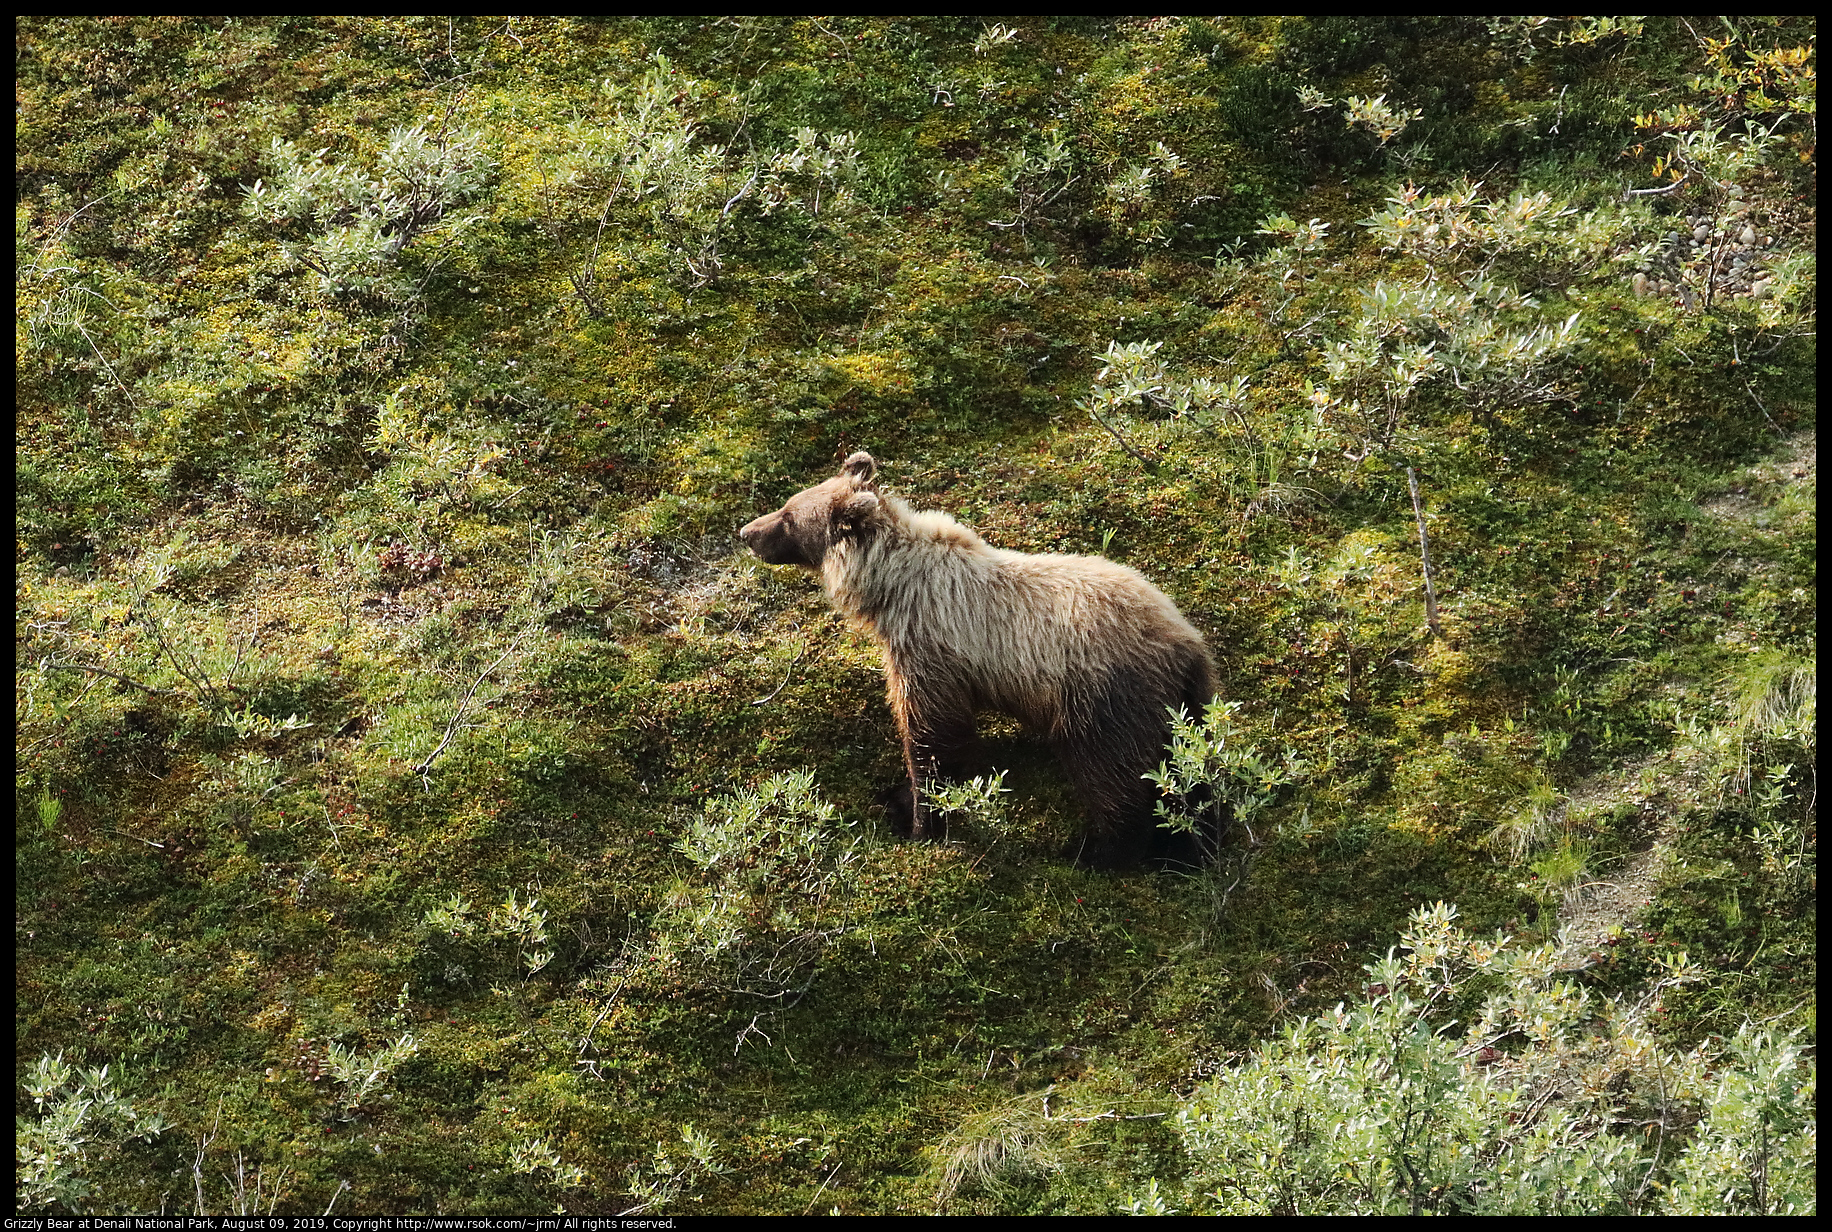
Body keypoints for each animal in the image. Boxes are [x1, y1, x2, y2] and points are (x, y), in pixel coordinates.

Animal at [729, 449, 1216, 865]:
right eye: (788, 503)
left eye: (789, 517)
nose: (747, 533)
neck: (891, 590)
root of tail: (1186, 641)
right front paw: (903, 801)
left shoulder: (929, 649)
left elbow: (933, 737)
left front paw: (923, 822)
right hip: (1188, 702)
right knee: (1194, 774)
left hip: (1104, 697)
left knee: (1117, 777)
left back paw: (1099, 854)